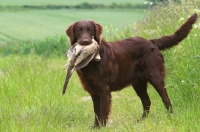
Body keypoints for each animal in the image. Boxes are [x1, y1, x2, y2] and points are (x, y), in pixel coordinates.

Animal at [65, 13, 198, 128]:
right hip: (138, 83)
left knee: (166, 100)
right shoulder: (93, 91)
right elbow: (96, 112)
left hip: (156, 78)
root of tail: (152, 42)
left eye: (90, 30)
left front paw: (101, 127)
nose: (86, 42)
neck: (92, 62)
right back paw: (141, 121)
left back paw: (170, 118)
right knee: (147, 101)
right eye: (79, 30)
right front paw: (95, 127)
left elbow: (102, 112)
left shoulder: (104, 90)